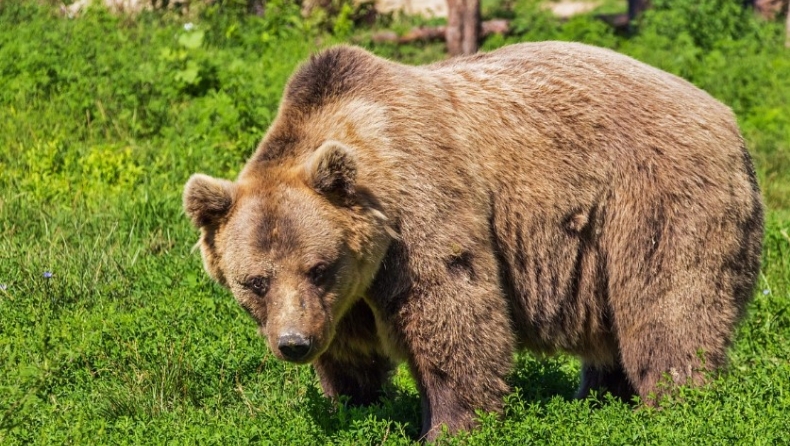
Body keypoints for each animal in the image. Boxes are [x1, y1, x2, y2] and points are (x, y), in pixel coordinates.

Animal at [184, 41, 768, 440]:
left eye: (318, 267)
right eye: (255, 282)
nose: (293, 344)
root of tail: (727, 117)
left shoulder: (420, 209)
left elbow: (453, 313)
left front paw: (448, 425)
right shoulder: (346, 295)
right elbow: (351, 354)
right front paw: (355, 404)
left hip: (655, 201)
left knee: (669, 308)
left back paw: (674, 405)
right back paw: (599, 397)